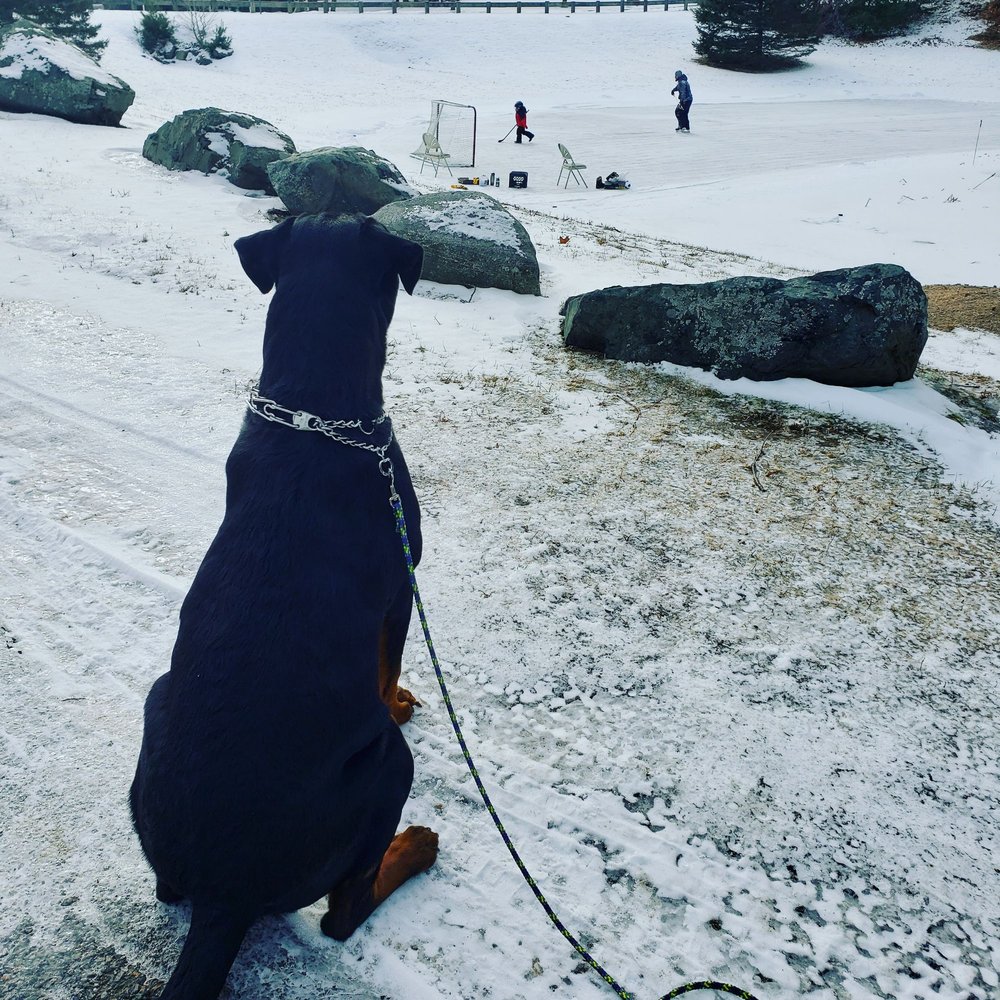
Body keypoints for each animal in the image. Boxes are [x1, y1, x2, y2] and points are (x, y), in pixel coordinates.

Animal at [130, 214, 437, 1000]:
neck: (313, 408)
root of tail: (224, 893)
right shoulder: (401, 583)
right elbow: (386, 670)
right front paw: (395, 700)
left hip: (156, 706)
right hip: (387, 772)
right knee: (342, 912)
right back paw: (415, 846)